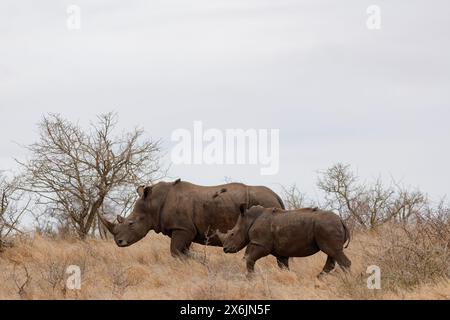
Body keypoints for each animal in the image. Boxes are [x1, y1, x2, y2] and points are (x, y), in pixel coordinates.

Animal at [100, 180, 286, 264]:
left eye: (131, 223)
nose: (118, 242)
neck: (153, 204)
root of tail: (277, 196)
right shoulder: (186, 230)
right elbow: (182, 251)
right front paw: (198, 261)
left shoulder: (182, 228)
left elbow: (175, 251)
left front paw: (196, 261)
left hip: (265, 201)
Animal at [217, 206, 352, 276]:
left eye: (232, 234)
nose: (225, 249)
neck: (248, 220)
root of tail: (342, 221)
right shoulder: (281, 251)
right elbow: (283, 266)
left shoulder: (261, 244)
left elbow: (250, 258)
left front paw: (251, 278)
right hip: (329, 226)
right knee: (332, 253)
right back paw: (319, 279)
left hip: (327, 226)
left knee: (334, 252)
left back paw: (347, 280)